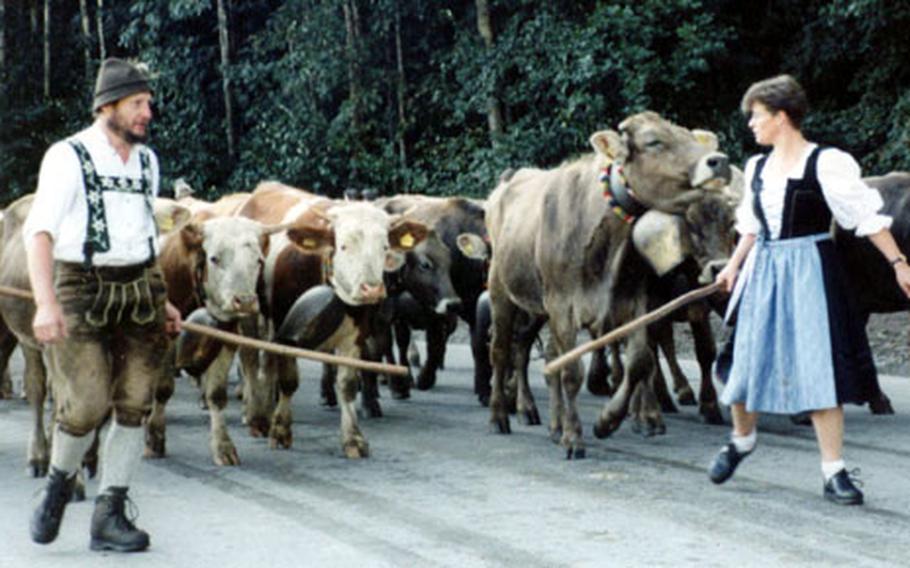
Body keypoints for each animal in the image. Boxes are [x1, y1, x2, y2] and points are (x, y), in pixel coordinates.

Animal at [488, 112, 732, 458]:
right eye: (653, 141)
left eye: (687, 135)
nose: (719, 161)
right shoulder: (563, 305)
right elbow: (571, 371)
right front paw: (574, 437)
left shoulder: (635, 301)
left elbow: (640, 360)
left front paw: (608, 421)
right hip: (502, 289)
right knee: (501, 350)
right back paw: (501, 415)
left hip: (538, 307)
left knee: (536, 352)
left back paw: (548, 422)